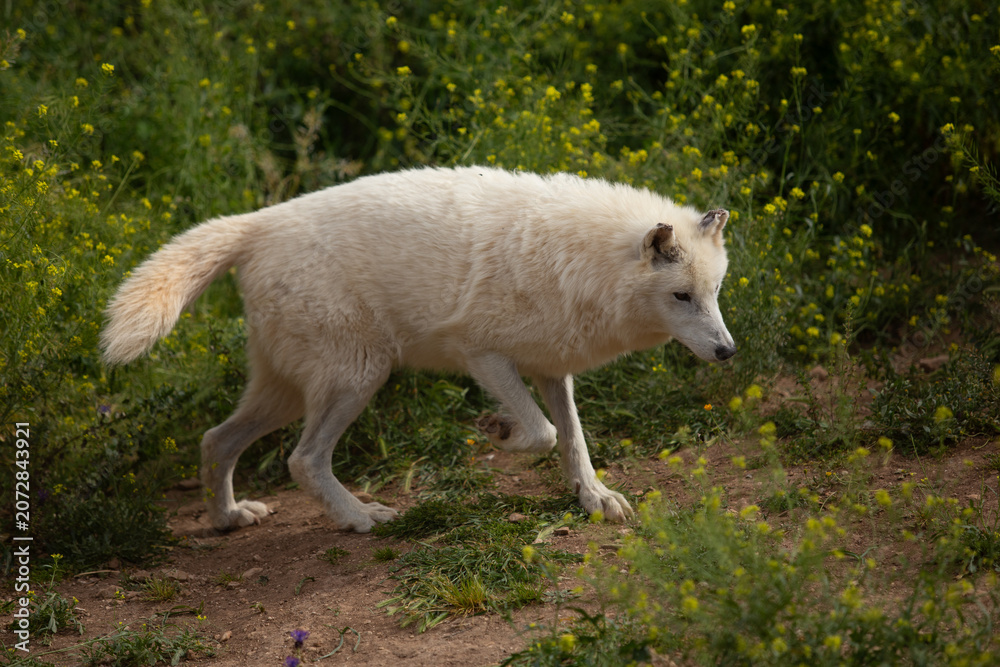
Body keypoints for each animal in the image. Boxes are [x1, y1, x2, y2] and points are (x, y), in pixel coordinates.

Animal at [101, 166, 735, 532]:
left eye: (714, 292)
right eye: (680, 296)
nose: (728, 352)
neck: (578, 258)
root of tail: (258, 221)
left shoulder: (552, 370)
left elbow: (573, 441)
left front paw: (595, 498)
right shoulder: (480, 353)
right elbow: (542, 433)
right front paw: (497, 430)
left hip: (287, 392)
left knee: (216, 440)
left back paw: (228, 519)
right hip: (360, 377)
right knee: (301, 460)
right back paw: (361, 519)